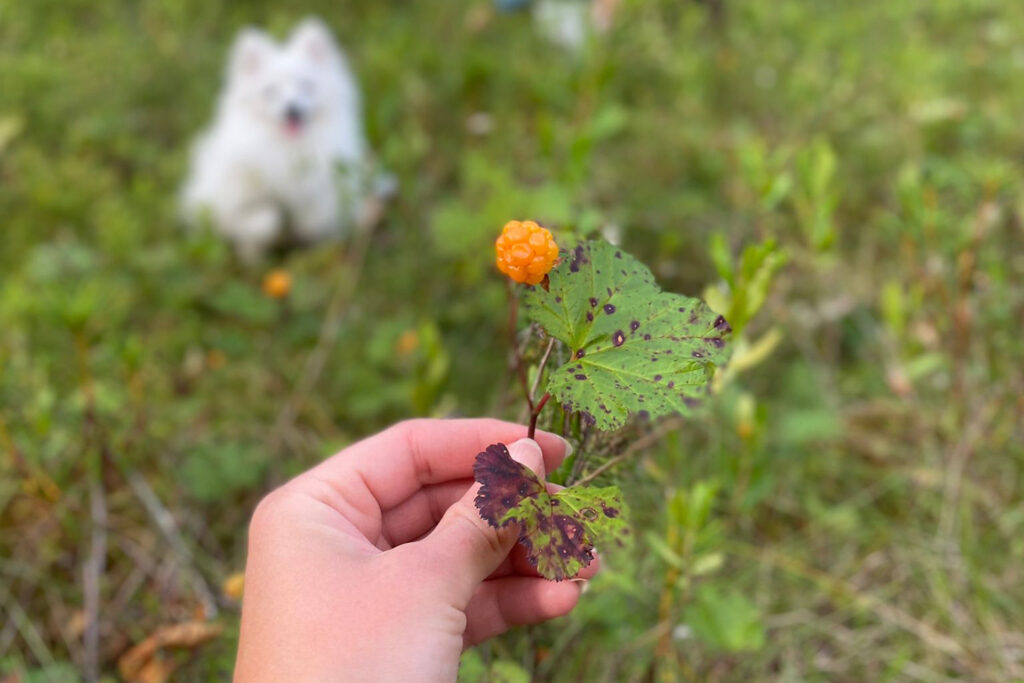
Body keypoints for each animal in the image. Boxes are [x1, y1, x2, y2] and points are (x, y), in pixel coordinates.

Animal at [182, 19, 374, 262]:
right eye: (270, 91)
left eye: (306, 86)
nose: (292, 110)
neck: (287, 149)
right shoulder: (232, 202)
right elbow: (264, 220)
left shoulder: (323, 188)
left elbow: (316, 216)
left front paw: (306, 227)